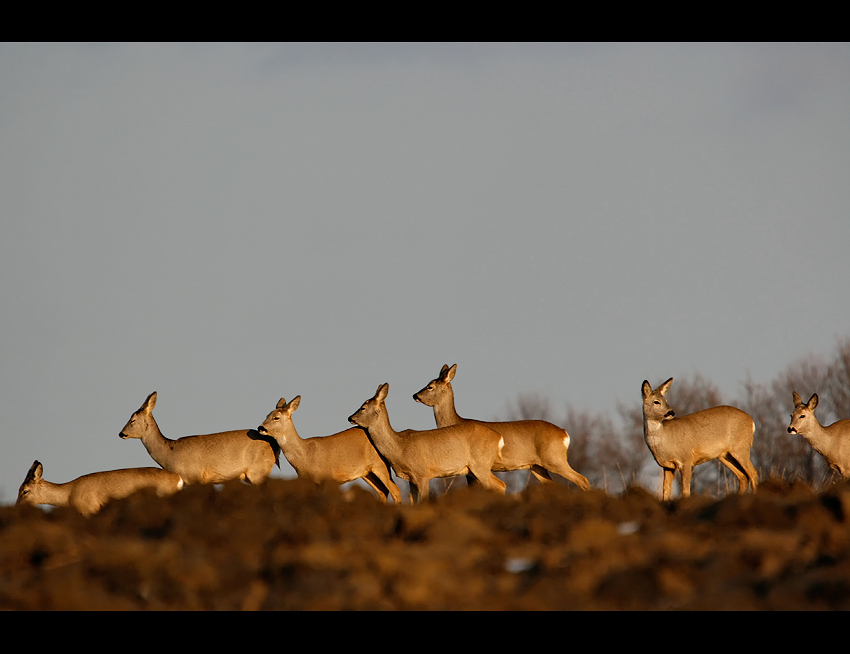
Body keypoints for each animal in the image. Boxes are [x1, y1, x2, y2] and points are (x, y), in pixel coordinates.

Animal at [119, 392, 280, 490]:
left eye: (132, 420)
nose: (121, 433)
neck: (169, 452)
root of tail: (275, 445)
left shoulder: (194, 476)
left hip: (258, 470)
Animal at [255, 394, 400, 508]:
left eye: (276, 417)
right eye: (267, 415)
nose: (260, 427)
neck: (305, 454)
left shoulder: (326, 478)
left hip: (380, 464)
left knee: (395, 490)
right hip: (366, 472)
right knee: (383, 491)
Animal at [344, 382, 504, 504]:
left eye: (363, 407)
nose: (350, 417)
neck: (400, 446)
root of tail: (498, 438)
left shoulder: (422, 474)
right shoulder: (411, 479)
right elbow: (412, 501)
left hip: (480, 464)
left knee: (499, 485)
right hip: (474, 469)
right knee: (500, 485)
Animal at [412, 364, 588, 492]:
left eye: (430, 386)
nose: (415, 395)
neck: (455, 422)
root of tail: (564, 433)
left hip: (554, 458)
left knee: (582, 479)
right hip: (537, 466)